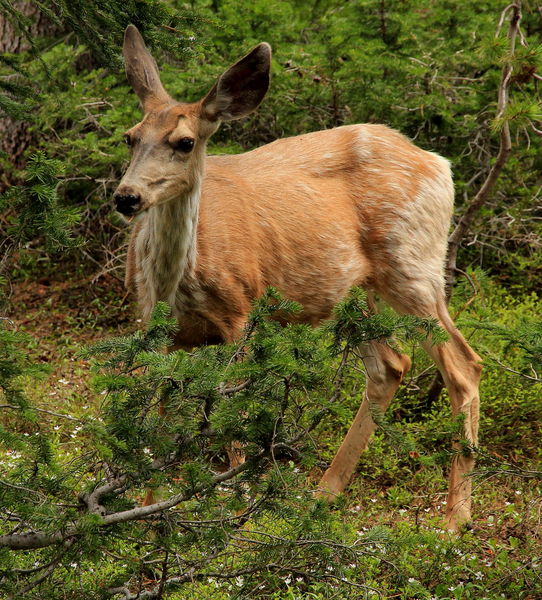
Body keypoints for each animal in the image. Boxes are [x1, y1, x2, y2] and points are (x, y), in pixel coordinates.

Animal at [116, 24, 484, 528]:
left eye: (185, 142)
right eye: (131, 137)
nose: (126, 196)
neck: (177, 285)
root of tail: (438, 163)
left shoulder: (241, 314)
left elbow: (233, 410)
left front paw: (237, 509)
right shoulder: (156, 328)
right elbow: (159, 412)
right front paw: (145, 506)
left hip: (412, 267)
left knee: (464, 367)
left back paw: (455, 518)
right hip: (355, 290)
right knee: (391, 365)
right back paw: (324, 493)